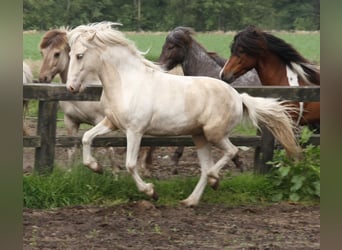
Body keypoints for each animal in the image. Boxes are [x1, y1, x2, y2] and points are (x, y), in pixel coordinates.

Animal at [65, 23, 300, 207]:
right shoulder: (111, 122)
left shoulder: (135, 131)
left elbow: (130, 165)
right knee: (206, 167)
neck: (127, 82)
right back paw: (191, 200)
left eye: (79, 55)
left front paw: (151, 192)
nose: (71, 87)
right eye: (69, 55)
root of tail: (238, 96)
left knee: (229, 153)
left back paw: (214, 180)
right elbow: (86, 138)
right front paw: (96, 168)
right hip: (199, 136)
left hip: (214, 134)